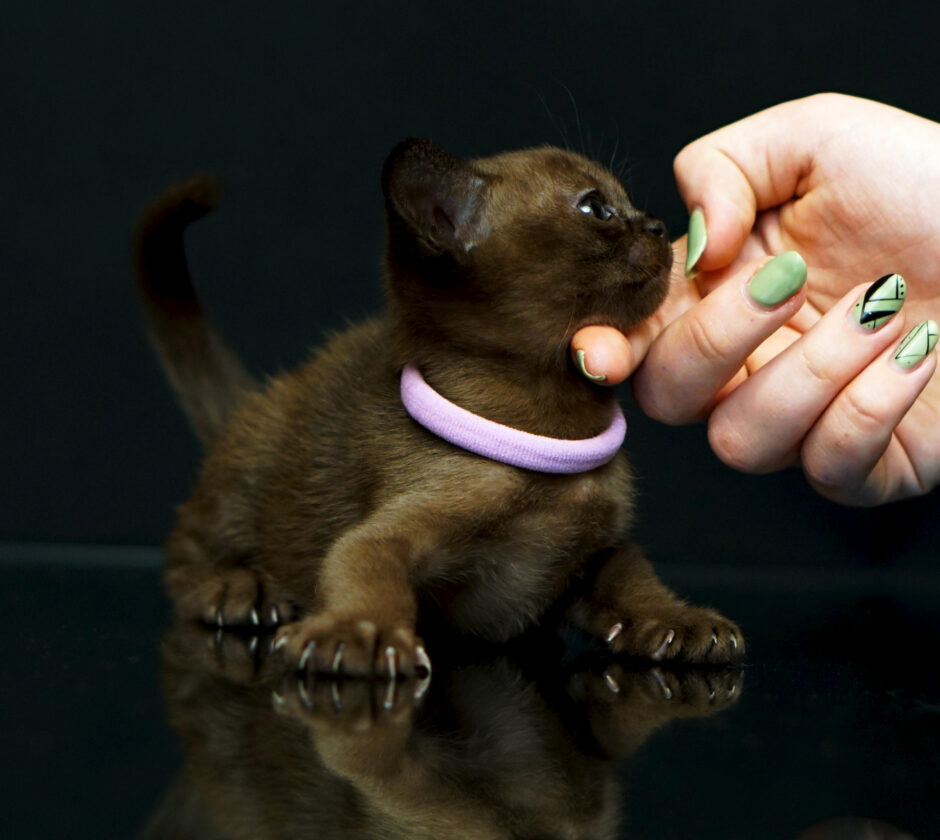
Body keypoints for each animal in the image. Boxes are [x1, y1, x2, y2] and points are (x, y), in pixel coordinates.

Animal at [134, 138, 744, 677]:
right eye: (595, 207)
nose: (658, 224)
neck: (556, 418)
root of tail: (262, 393)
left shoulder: (603, 548)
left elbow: (636, 576)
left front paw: (680, 622)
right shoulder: (392, 532)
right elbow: (363, 570)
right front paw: (357, 634)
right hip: (246, 479)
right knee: (186, 549)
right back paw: (237, 589)